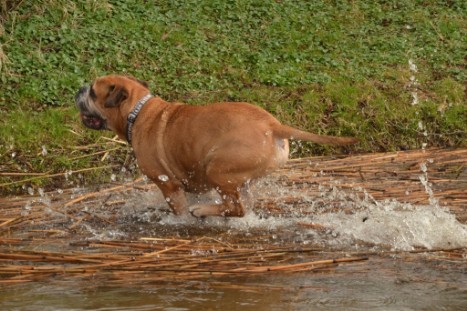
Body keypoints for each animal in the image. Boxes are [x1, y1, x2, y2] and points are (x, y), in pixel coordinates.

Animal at [76, 75, 358, 218]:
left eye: (92, 92)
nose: (78, 90)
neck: (138, 111)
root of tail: (273, 125)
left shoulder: (167, 184)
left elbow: (178, 209)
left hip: (218, 169)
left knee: (236, 208)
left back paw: (202, 211)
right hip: (242, 177)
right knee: (243, 204)